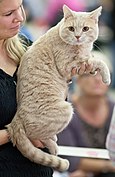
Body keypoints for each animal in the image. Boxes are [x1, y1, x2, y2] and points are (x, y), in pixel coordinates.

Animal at [6, 5, 110, 171]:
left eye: (85, 29)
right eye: (71, 28)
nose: (78, 36)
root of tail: (16, 119)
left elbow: (92, 59)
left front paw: (94, 70)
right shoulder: (67, 64)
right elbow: (97, 61)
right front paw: (106, 76)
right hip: (66, 109)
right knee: (35, 135)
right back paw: (53, 146)